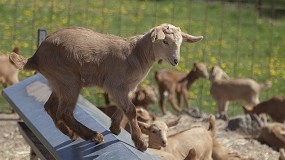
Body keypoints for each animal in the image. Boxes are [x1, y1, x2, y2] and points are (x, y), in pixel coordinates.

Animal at [9, 23, 202, 150]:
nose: (175, 61)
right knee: (64, 111)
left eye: (180, 42)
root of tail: (36, 56)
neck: (137, 54)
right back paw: (92, 136)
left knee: (50, 107)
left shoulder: (126, 87)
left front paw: (115, 128)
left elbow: (125, 107)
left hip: (58, 81)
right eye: (165, 42)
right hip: (69, 80)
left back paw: (70, 133)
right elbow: (131, 110)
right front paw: (140, 142)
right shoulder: (116, 85)